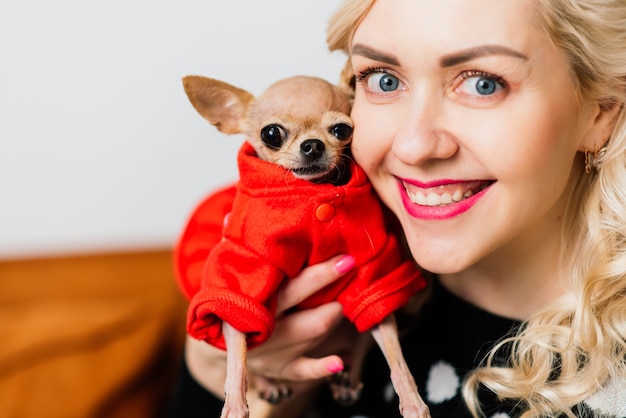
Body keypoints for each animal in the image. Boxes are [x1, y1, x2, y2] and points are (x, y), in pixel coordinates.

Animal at [178, 75, 426, 418]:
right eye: (271, 134)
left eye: (341, 129)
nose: (313, 144)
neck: (310, 194)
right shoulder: (245, 273)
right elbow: (237, 348)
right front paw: (235, 402)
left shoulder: (370, 272)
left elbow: (393, 351)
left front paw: (411, 398)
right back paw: (270, 384)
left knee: (360, 342)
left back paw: (347, 380)